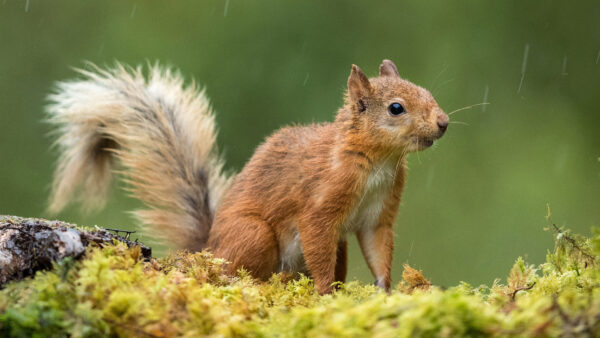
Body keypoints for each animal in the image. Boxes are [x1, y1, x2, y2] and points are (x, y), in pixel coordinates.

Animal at [47, 60, 448, 294]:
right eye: (396, 108)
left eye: (427, 92)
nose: (443, 123)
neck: (378, 163)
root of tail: (207, 248)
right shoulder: (319, 206)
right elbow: (318, 245)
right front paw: (324, 292)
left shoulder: (377, 216)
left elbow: (378, 249)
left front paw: (384, 290)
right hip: (254, 235)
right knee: (235, 271)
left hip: (339, 245)